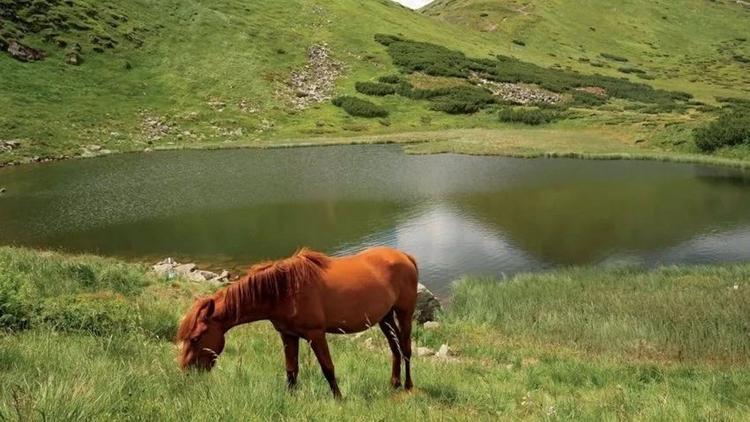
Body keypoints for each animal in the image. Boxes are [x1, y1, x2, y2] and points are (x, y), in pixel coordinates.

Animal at [178, 246, 424, 398]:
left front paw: (338, 399)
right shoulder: (288, 335)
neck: (283, 290)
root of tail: (406, 257)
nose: (186, 373)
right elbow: (291, 369)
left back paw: (408, 386)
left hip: (404, 313)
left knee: (406, 349)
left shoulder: (316, 334)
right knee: (394, 349)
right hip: (385, 317)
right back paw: (394, 383)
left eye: (196, 338)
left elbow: (328, 368)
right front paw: (290, 396)